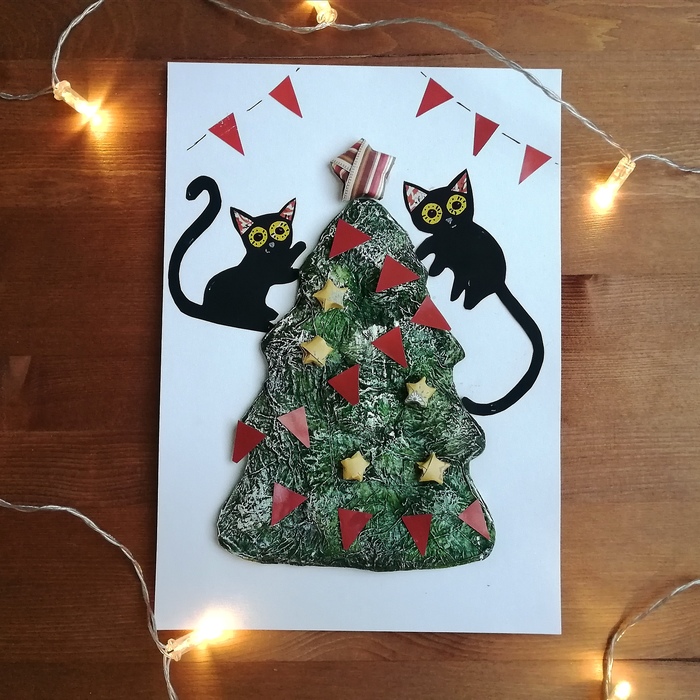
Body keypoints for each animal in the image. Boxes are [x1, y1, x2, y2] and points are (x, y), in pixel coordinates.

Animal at [168, 175, 306, 332]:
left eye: (279, 231)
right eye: (258, 237)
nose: (271, 244)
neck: (269, 258)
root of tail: (205, 308)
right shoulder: (273, 272)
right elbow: (285, 269)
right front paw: (299, 249)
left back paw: (269, 313)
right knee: (245, 322)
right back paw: (266, 323)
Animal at [403, 168, 544, 416]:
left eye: (456, 205)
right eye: (432, 213)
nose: (449, 220)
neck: (450, 236)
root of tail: (500, 282)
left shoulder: (446, 253)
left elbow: (436, 262)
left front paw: (428, 267)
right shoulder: (439, 246)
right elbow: (428, 248)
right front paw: (420, 255)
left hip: (476, 280)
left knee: (471, 300)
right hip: (465, 276)